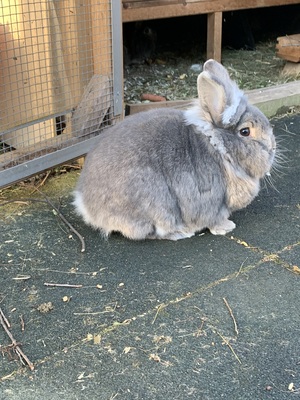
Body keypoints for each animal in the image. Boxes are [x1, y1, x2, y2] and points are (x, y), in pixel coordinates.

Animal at [73, 59, 276, 241]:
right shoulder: (212, 202)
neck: (219, 149)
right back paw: (181, 233)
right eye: (245, 132)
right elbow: (213, 220)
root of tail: (85, 203)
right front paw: (226, 227)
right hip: (158, 205)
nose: (273, 147)